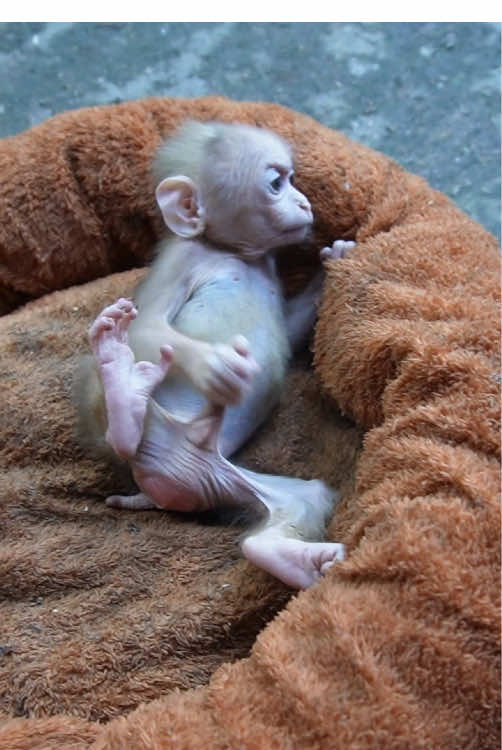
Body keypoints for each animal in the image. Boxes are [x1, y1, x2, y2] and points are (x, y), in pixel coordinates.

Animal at [77, 121, 355, 589]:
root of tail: (157, 490)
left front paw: (330, 264)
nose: (303, 201)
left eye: (293, 180)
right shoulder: (182, 257)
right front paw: (218, 366)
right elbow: (148, 325)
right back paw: (120, 388)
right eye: (276, 184)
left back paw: (289, 559)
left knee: (302, 499)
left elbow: (289, 329)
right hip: (158, 431)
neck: (232, 251)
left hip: (224, 479)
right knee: (123, 432)